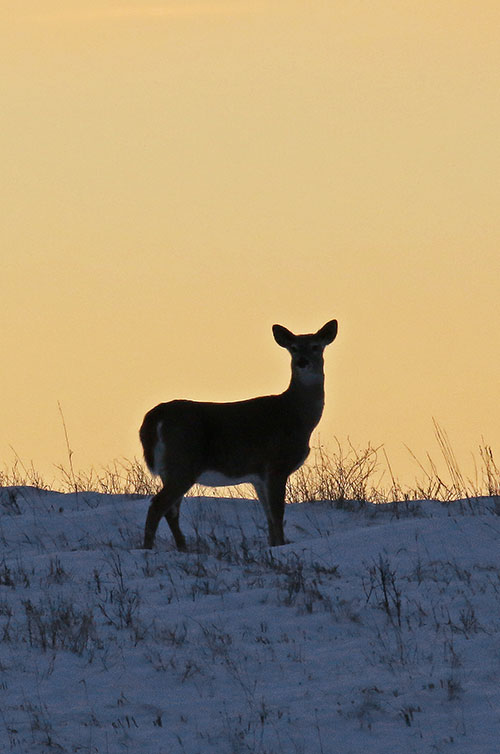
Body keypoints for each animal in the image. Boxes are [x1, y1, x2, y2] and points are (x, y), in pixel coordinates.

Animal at [139, 318, 338, 548]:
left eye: (316, 346)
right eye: (293, 348)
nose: (302, 362)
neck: (296, 415)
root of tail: (155, 415)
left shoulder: (259, 476)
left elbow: (270, 519)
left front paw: (273, 545)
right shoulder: (276, 464)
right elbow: (278, 514)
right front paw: (281, 546)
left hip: (171, 469)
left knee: (171, 511)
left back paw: (183, 548)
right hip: (183, 462)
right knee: (157, 505)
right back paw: (148, 549)